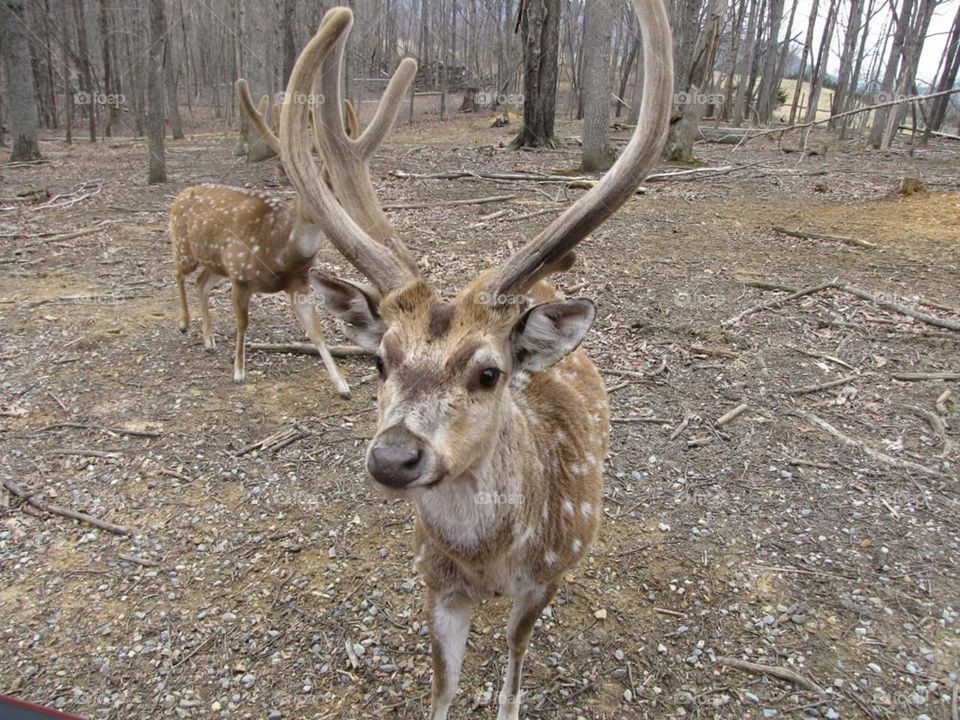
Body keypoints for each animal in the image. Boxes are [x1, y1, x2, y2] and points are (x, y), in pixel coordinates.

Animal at [167, 71, 414, 396]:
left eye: (336, 192)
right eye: (309, 194)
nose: (333, 212)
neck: (277, 250)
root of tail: (179, 196)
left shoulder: (298, 283)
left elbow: (316, 332)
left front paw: (342, 386)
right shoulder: (241, 277)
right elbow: (242, 323)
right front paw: (239, 372)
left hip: (216, 265)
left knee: (201, 283)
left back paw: (208, 341)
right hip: (185, 248)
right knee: (179, 273)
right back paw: (184, 323)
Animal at [268, 2, 676, 716]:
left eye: (489, 373)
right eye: (380, 361)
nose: (394, 457)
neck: (489, 559)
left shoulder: (542, 579)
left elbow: (514, 658)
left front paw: (511, 697)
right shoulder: (436, 582)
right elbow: (442, 687)